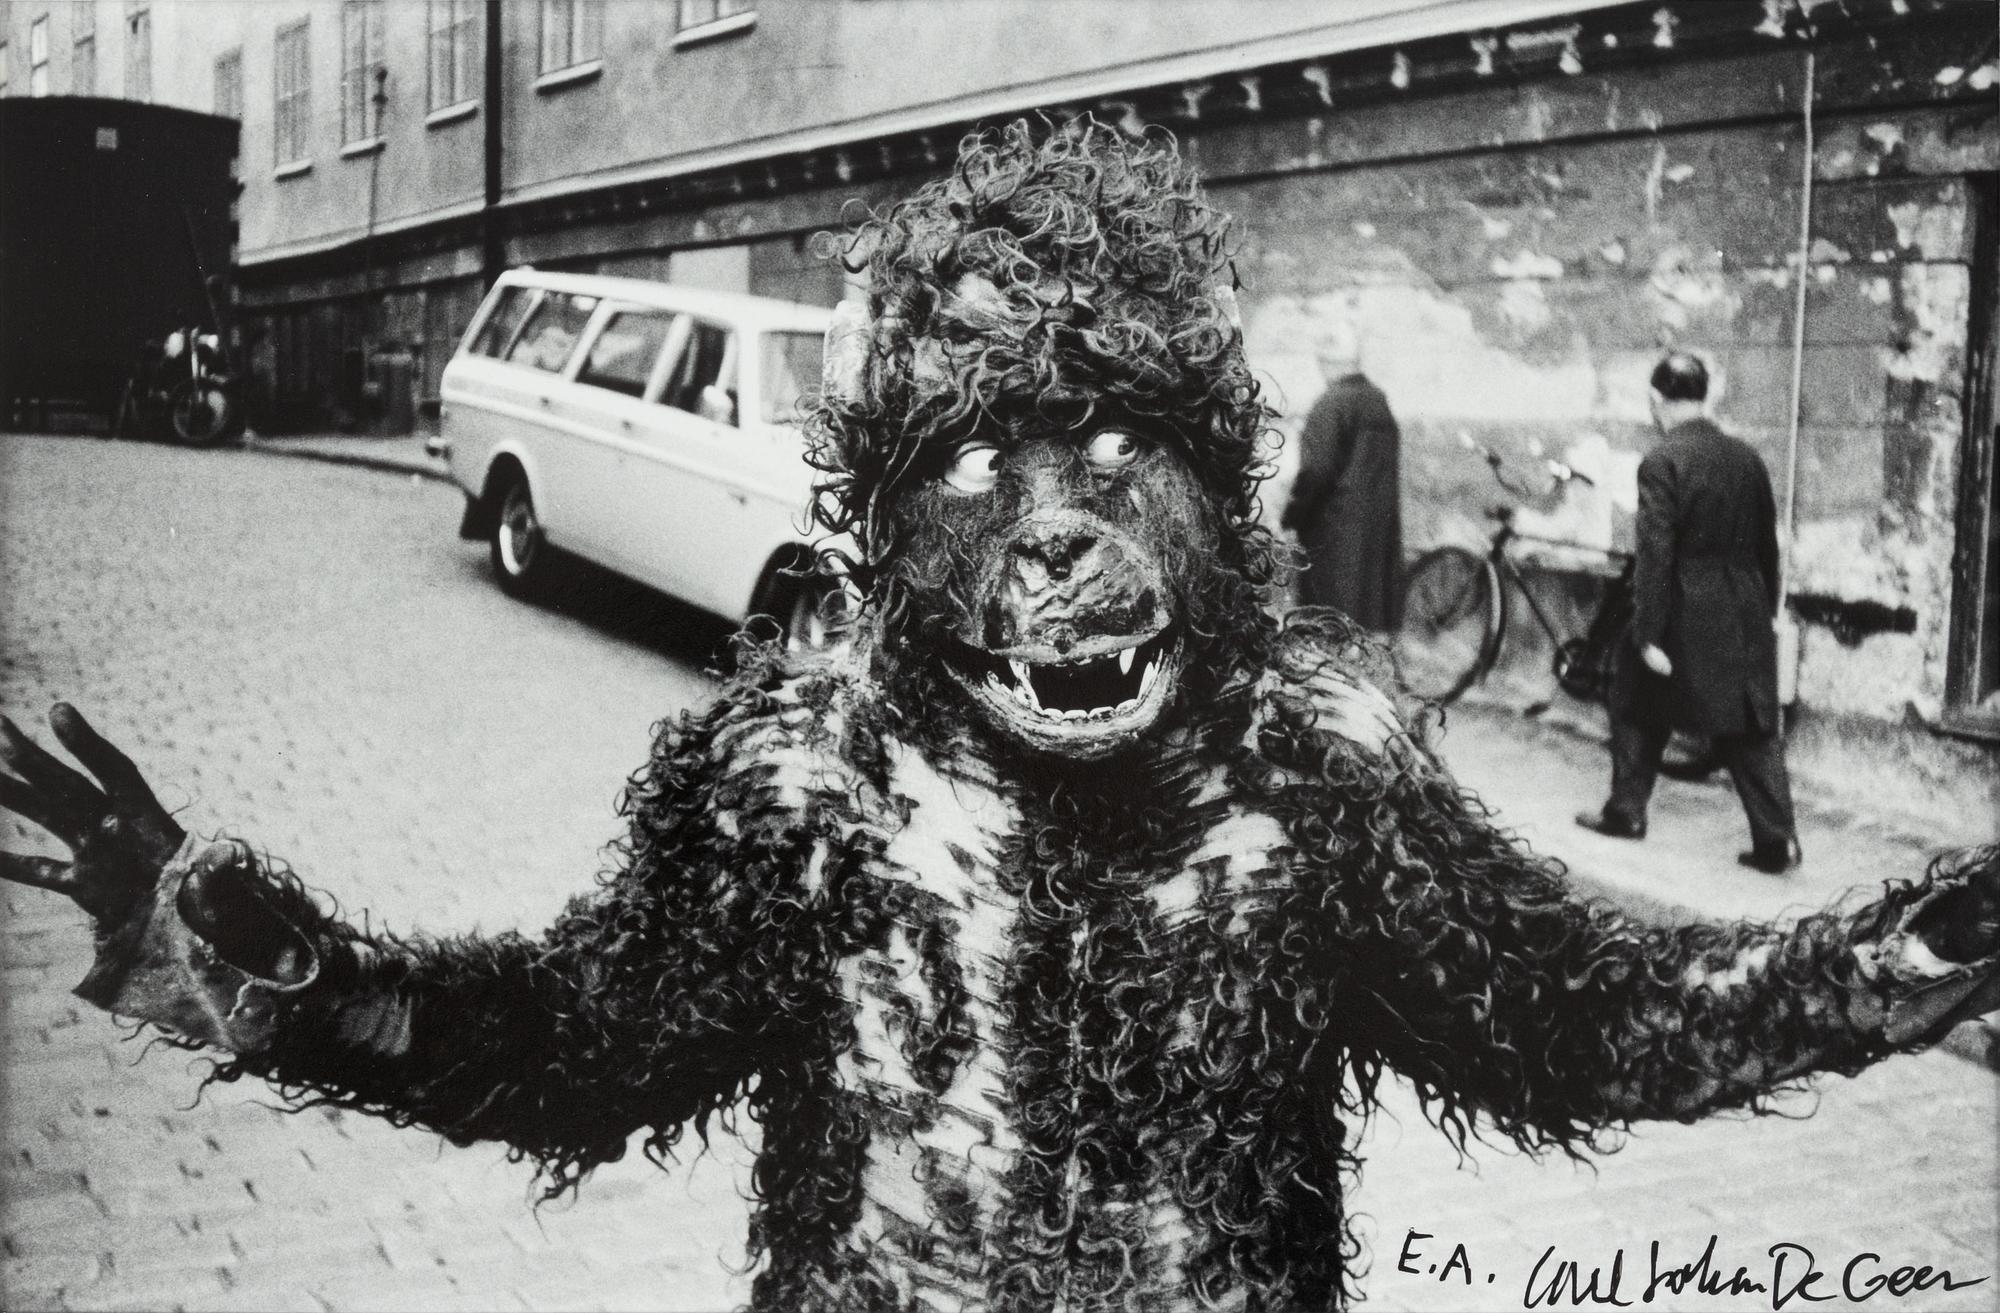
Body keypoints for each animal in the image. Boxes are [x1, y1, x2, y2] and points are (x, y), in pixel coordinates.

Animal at [3, 117, 1996, 1312]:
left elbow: (1556, 1010)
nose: (1054, 540)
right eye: (972, 460)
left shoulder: (1365, 781)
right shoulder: (749, 784)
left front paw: (1919, 940)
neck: (1060, 804)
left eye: (1110, 443)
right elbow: (600, 1026)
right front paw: (200, 925)